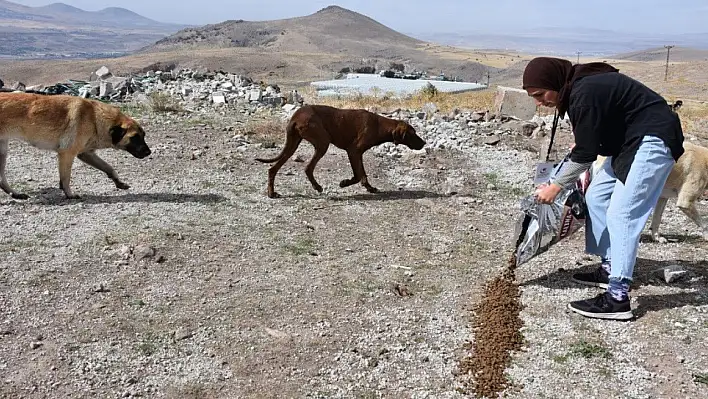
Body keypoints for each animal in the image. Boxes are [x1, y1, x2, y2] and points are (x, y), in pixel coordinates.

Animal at [0, 93, 151, 200]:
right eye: (134, 137)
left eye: (143, 136)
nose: (148, 152)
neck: (94, 118)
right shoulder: (67, 154)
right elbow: (66, 178)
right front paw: (69, 195)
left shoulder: (86, 154)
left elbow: (109, 168)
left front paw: (119, 182)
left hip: (3, 151)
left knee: (1, 180)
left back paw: (16, 194)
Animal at [256, 104, 426, 198]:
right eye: (413, 133)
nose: (424, 143)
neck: (380, 125)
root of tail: (295, 117)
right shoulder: (354, 151)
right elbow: (359, 176)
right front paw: (344, 183)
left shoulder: (357, 154)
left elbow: (362, 175)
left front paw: (369, 188)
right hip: (322, 143)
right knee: (308, 168)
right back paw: (317, 187)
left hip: (293, 144)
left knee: (272, 169)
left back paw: (272, 193)